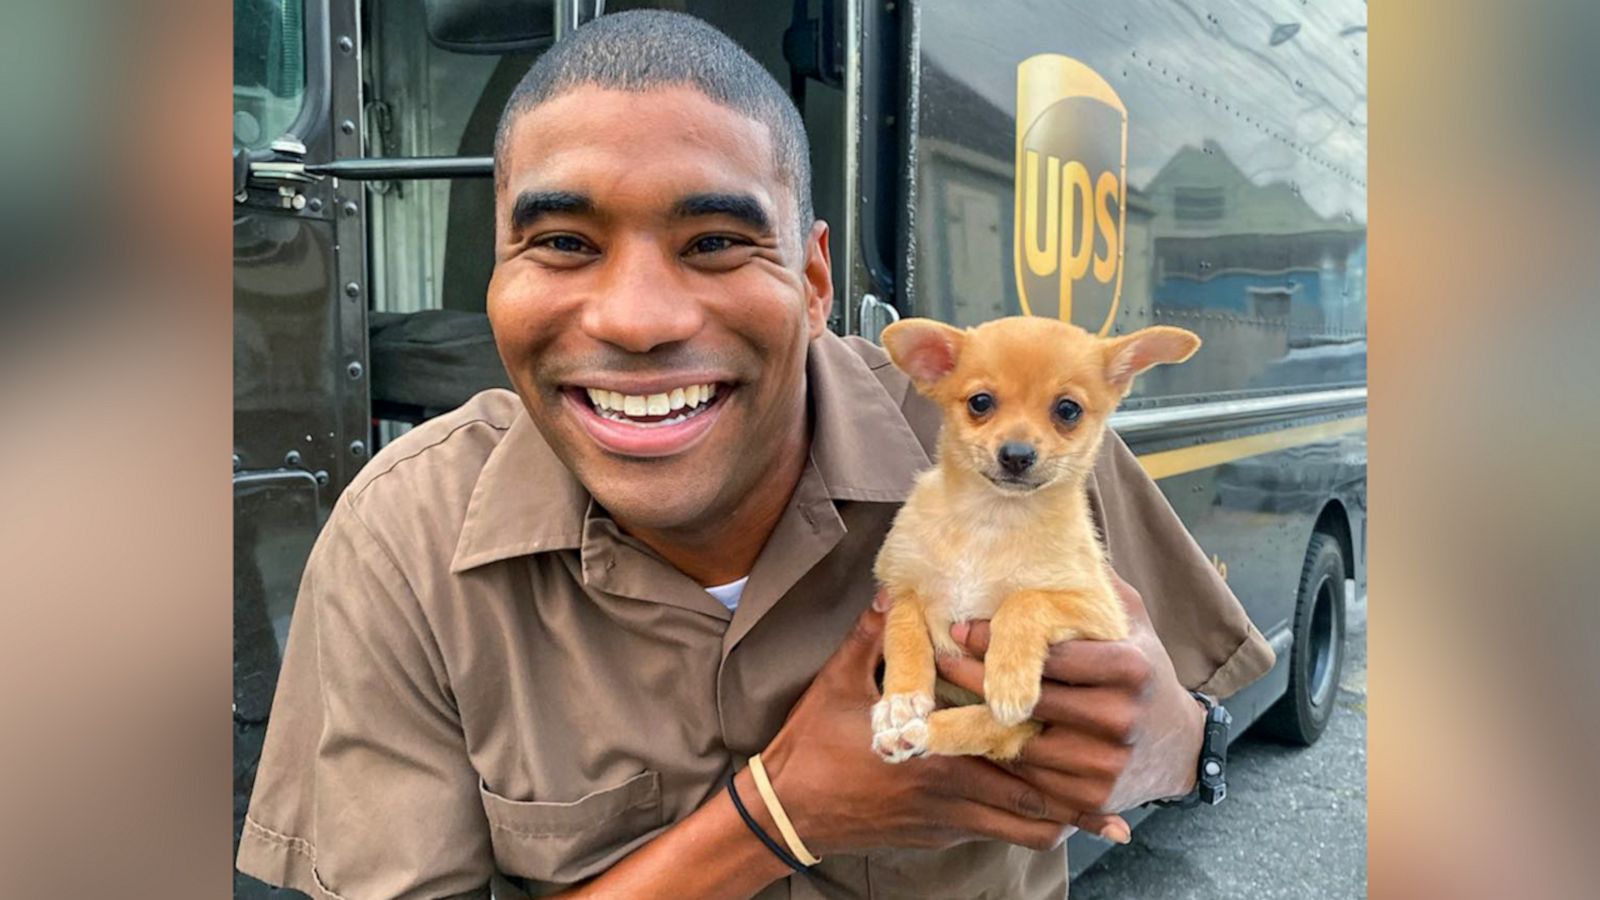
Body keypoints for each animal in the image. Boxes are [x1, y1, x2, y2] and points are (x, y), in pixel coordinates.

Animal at [870, 312, 1196, 768]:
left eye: (1068, 409)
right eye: (980, 402)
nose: (1017, 454)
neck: (992, 519)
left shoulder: (1101, 613)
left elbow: (1026, 600)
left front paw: (1008, 677)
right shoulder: (900, 585)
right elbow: (905, 630)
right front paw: (900, 699)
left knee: (996, 730)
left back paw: (927, 731)